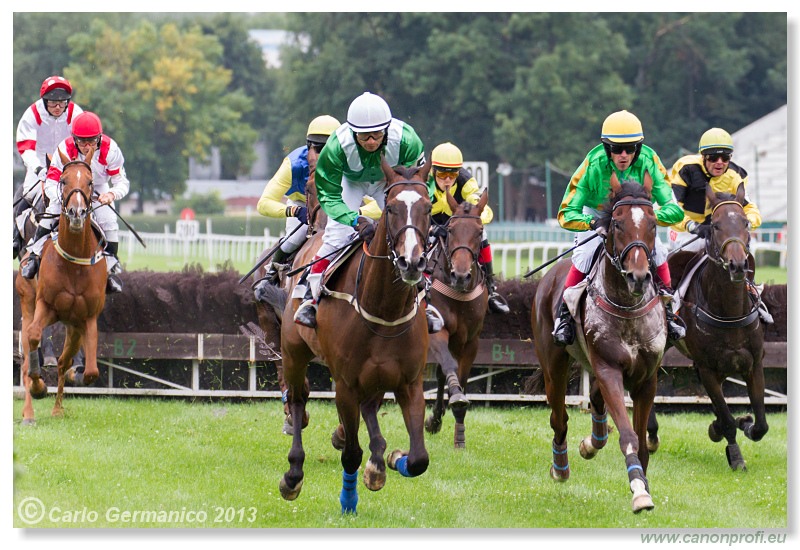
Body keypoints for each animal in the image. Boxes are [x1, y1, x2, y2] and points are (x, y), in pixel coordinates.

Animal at [14, 151, 106, 426]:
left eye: (90, 182)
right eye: (63, 181)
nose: (76, 213)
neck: (74, 263)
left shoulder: (88, 318)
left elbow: (90, 371)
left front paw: (76, 376)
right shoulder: (45, 306)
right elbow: (34, 338)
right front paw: (39, 386)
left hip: (73, 327)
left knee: (67, 360)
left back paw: (57, 409)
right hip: (28, 303)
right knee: (27, 357)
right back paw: (29, 413)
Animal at [276, 157, 438, 516]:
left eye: (428, 206)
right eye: (391, 208)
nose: (412, 261)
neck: (384, 310)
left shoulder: (409, 382)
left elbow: (419, 459)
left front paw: (391, 459)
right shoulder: (346, 384)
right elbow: (351, 453)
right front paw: (348, 500)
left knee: (370, 409)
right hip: (294, 352)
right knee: (298, 399)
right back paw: (293, 473)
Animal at [422, 189, 490, 448]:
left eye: (479, 231)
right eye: (450, 230)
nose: (460, 276)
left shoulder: (471, 341)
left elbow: (459, 377)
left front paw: (459, 435)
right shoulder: (437, 330)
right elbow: (448, 366)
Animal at [532, 175, 668, 516]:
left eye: (653, 224)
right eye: (617, 224)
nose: (638, 277)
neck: (628, 308)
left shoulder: (647, 378)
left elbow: (641, 439)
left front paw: (643, 485)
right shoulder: (608, 369)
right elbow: (629, 436)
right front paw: (639, 492)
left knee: (594, 400)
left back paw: (591, 442)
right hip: (553, 364)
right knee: (559, 419)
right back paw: (561, 466)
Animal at [648, 184, 764, 470]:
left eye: (745, 222)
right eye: (715, 225)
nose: (738, 265)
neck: (729, 311)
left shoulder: (753, 363)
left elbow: (761, 425)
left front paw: (743, 422)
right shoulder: (708, 368)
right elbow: (727, 418)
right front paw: (735, 456)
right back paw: (651, 434)